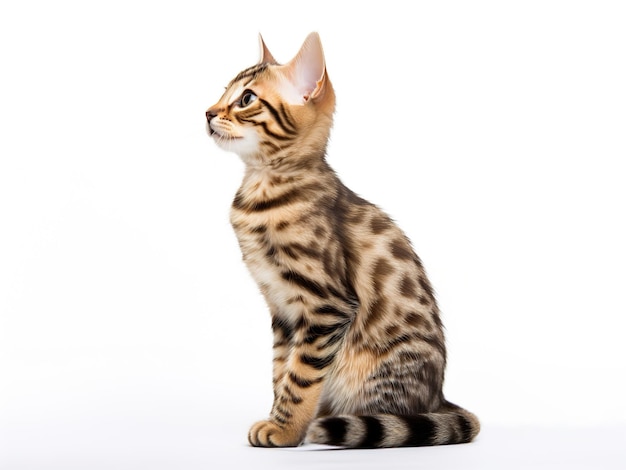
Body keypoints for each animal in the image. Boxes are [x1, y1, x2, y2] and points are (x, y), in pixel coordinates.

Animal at [205, 33, 478, 448]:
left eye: (246, 98)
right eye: (224, 92)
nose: (207, 112)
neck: (264, 186)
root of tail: (439, 398)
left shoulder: (327, 307)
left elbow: (300, 377)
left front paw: (285, 429)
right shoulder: (282, 311)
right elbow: (281, 370)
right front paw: (281, 420)